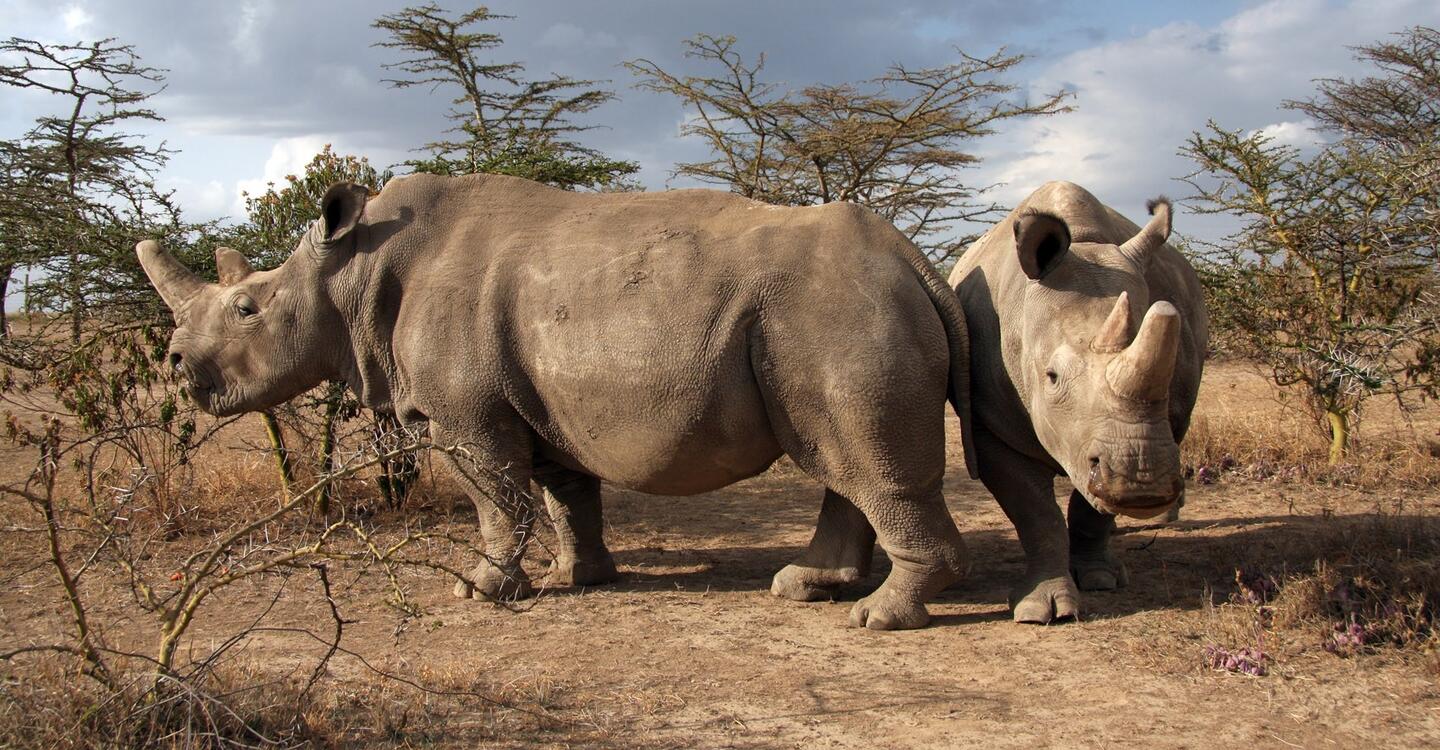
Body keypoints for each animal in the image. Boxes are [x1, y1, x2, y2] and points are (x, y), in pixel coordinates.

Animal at [137, 172, 979, 627]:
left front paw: (479, 590)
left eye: (248, 308)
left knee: (865, 463)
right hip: (828, 312)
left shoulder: (464, 416)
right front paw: (579, 577)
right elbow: (562, 493)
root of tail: (915, 259)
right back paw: (806, 590)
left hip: (837, 312)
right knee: (841, 460)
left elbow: (495, 498)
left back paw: (877, 619)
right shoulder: (540, 404)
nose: (176, 362)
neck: (351, 272)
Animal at [950, 179, 1209, 619]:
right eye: (1052, 377)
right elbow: (1036, 514)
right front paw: (1043, 610)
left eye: (1173, 366)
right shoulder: (991, 425)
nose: (1142, 481)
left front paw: (1100, 579)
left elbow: (1090, 512)